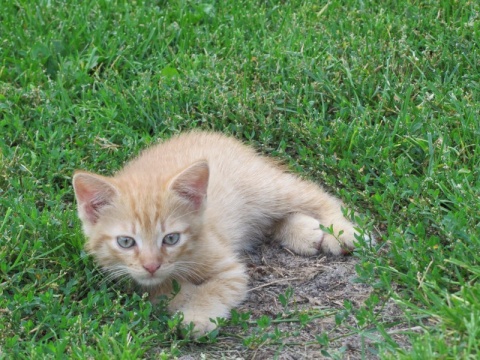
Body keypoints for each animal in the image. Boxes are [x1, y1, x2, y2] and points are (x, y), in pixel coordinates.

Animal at [71, 131, 364, 336]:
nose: (152, 265)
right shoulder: (135, 278)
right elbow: (162, 290)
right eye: (126, 242)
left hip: (265, 189)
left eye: (171, 238)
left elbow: (214, 289)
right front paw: (180, 295)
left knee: (315, 194)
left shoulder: (230, 270)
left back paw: (343, 231)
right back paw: (306, 232)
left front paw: (197, 317)